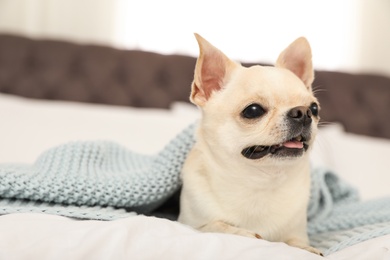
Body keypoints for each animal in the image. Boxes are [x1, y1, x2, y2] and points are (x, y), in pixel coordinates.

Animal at [178, 33, 322, 255]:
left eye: (314, 109)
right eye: (253, 110)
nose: (303, 112)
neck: (260, 182)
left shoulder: (296, 231)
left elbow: (295, 241)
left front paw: (308, 248)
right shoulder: (189, 222)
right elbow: (213, 225)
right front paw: (241, 232)